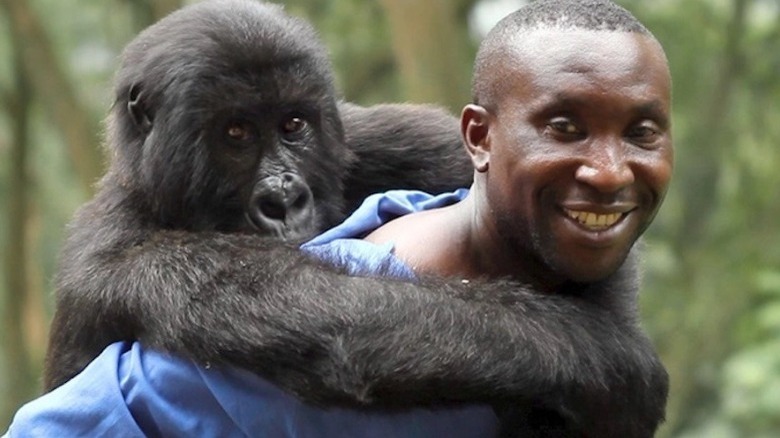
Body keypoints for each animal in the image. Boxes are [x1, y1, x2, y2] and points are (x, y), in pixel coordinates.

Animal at [29, 0, 664, 436]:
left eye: (293, 125)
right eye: (235, 134)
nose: (284, 200)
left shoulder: (362, 135)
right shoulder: (118, 253)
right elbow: (339, 319)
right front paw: (600, 360)